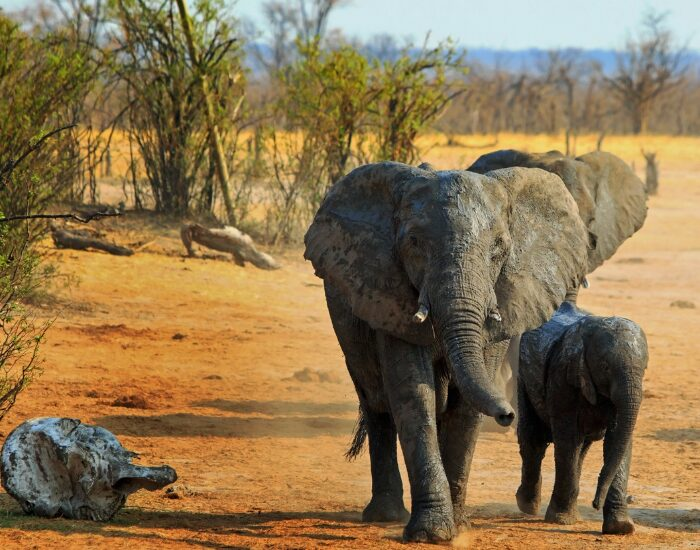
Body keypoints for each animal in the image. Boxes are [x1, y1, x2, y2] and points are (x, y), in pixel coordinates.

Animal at [304, 161, 590, 542]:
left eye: (499, 247)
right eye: (413, 243)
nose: (507, 414)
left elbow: (464, 406)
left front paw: (459, 527)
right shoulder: (388, 294)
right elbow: (413, 394)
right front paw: (432, 534)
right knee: (377, 405)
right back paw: (384, 515)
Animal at [516, 300, 648, 535]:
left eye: (645, 368)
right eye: (605, 367)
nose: (595, 503)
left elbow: (617, 441)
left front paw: (621, 528)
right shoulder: (563, 376)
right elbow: (568, 439)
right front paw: (561, 520)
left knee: (581, 448)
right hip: (523, 379)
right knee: (533, 438)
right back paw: (528, 506)